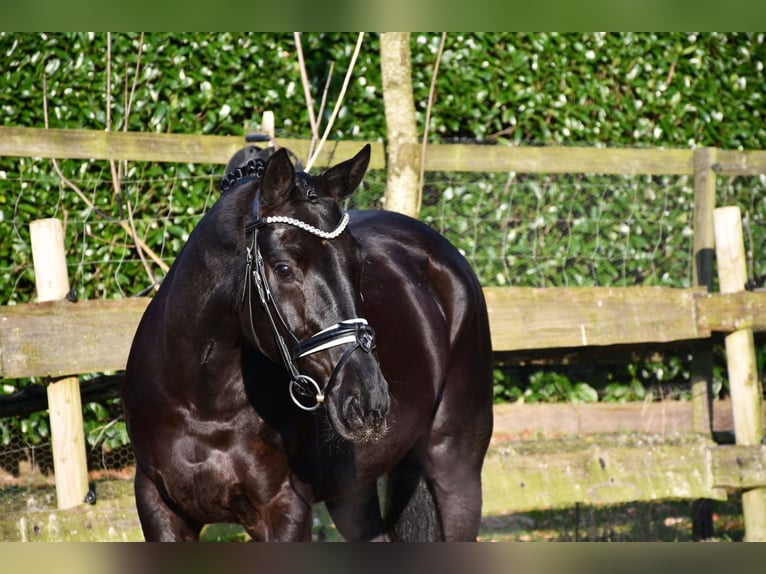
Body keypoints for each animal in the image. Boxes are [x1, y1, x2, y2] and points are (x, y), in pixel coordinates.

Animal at [123, 146, 496, 544]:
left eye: (359, 265)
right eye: (284, 268)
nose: (369, 400)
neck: (202, 405)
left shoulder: (284, 512)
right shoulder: (159, 507)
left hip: (455, 465)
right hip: (354, 491)